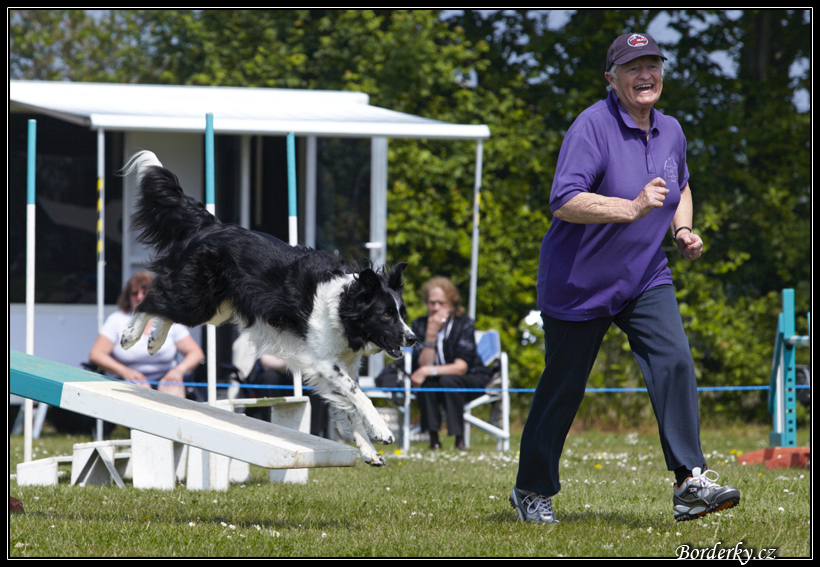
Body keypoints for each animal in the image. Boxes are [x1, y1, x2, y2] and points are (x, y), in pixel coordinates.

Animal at [118, 151, 420, 466]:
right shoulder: (325, 362)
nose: (413, 338)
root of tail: (212, 226)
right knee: (152, 298)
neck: (344, 306)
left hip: (216, 308)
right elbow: (358, 395)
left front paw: (368, 451)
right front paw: (382, 430)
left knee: (166, 308)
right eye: (385, 314)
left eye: (402, 314)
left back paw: (154, 342)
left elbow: (350, 407)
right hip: (197, 298)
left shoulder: (342, 365)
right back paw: (130, 337)